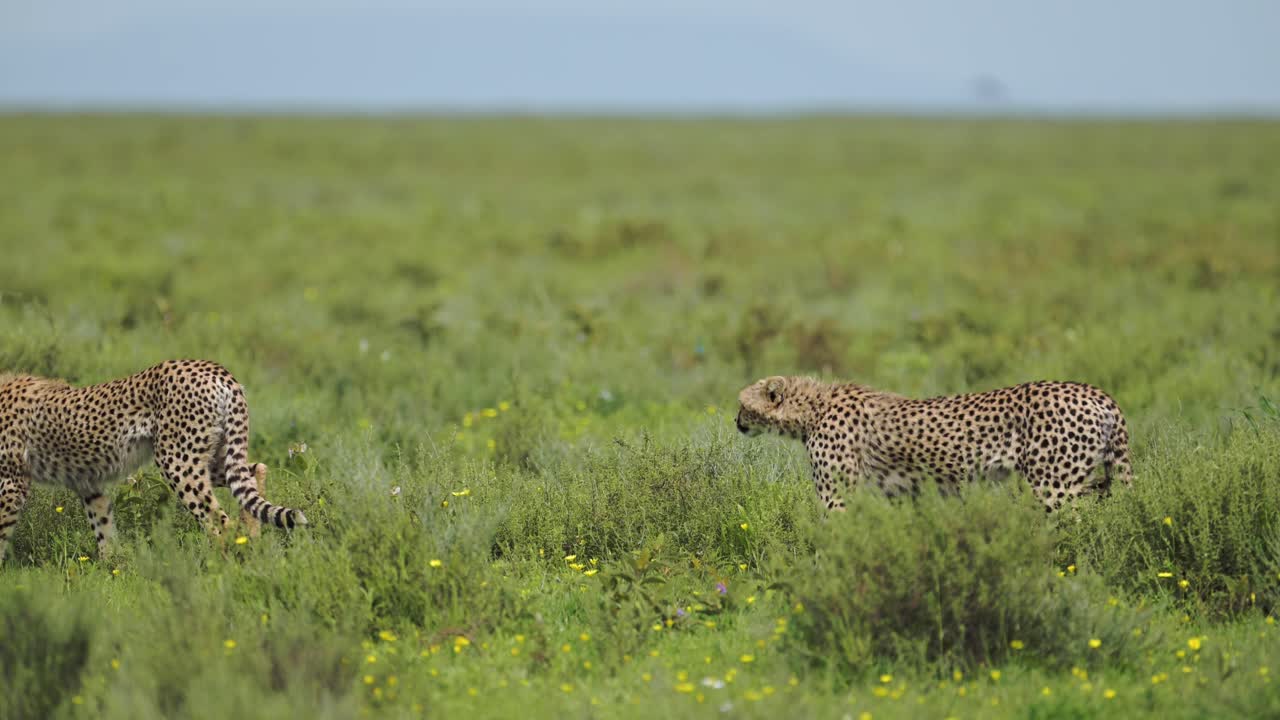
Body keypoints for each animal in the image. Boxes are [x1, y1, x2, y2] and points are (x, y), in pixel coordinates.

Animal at [0, 359, 307, 564]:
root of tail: (213, 368)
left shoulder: (11, 484)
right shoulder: (88, 482)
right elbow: (103, 526)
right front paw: (112, 570)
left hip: (178, 461)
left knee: (221, 522)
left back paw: (222, 566)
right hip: (211, 454)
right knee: (253, 473)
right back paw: (253, 542)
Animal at [735, 375, 1132, 512]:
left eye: (742, 404)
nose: (736, 423)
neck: (813, 408)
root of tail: (1097, 392)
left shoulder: (839, 497)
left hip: (1053, 488)